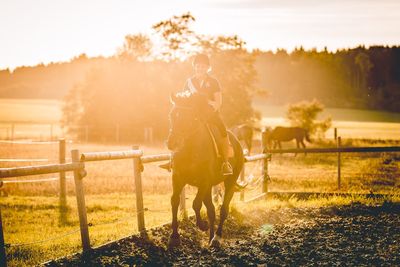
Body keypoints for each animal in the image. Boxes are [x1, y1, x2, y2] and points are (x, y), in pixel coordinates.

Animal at [166, 93, 244, 248]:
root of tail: (237, 143)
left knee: (223, 209)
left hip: (229, 183)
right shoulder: (178, 178)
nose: (172, 143)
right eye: (172, 115)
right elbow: (175, 201)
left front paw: (202, 225)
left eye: (187, 117)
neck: (190, 148)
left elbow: (196, 203)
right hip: (208, 189)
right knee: (211, 211)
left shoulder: (204, 182)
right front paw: (174, 236)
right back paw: (211, 238)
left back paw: (216, 238)